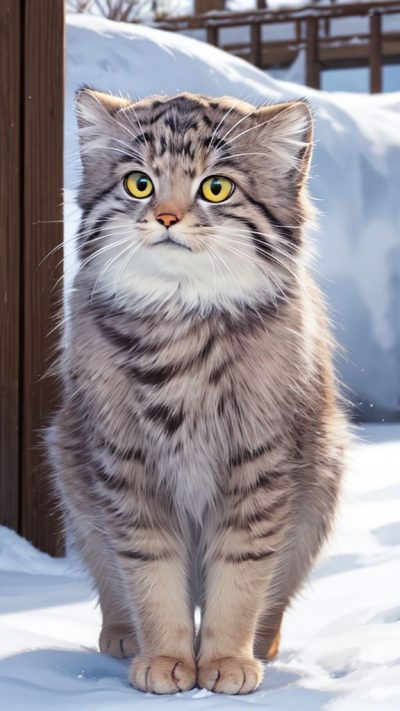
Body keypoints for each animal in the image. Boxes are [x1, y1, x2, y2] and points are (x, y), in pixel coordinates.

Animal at [48, 90, 346, 696]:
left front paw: (227, 661)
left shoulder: (259, 466)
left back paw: (262, 645)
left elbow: (240, 575)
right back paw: (122, 636)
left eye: (216, 188)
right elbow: (151, 574)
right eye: (140, 183)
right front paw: (165, 658)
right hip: (70, 468)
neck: (181, 320)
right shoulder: (126, 468)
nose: (166, 216)